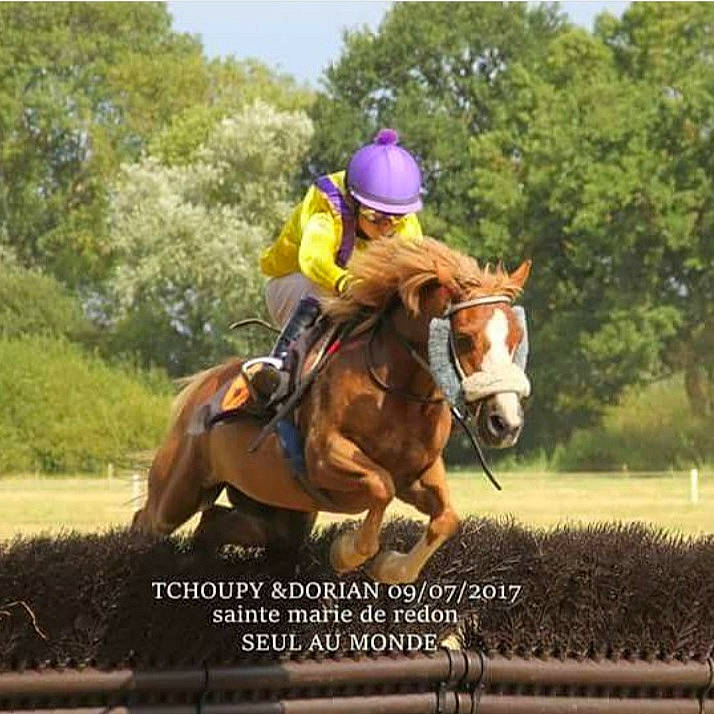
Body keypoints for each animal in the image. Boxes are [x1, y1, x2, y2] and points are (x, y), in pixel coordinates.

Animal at [132, 237, 531, 583]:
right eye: (463, 337)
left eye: (516, 338)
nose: (505, 423)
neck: (397, 391)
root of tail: (204, 386)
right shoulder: (323, 456)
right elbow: (380, 486)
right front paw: (347, 552)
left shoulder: (420, 472)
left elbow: (446, 518)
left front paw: (390, 567)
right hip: (178, 492)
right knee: (145, 521)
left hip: (275, 512)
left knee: (216, 522)